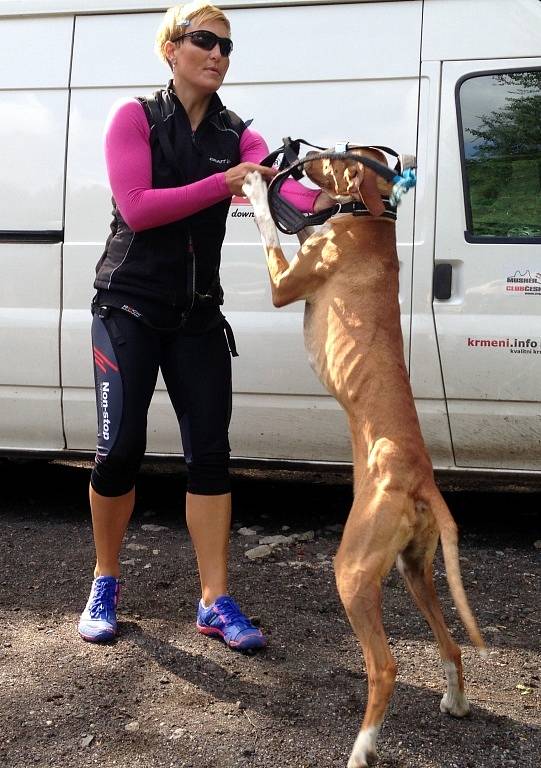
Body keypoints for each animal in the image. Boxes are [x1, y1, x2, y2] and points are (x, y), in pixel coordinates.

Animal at [242, 153, 486, 768]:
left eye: (331, 158)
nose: (295, 158)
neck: (371, 220)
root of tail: (422, 481)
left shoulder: (284, 283)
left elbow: (268, 226)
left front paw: (253, 184)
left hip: (352, 572)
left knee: (386, 666)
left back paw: (362, 748)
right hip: (413, 569)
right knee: (450, 644)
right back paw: (455, 702)